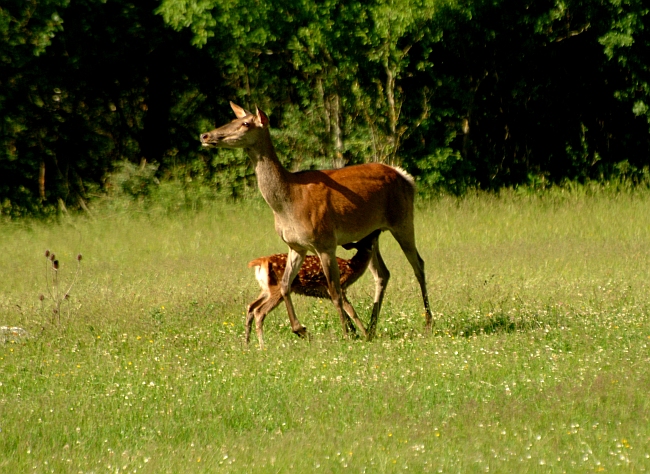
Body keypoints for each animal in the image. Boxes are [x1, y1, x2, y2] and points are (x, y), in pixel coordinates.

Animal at [247, 230, 380, 348]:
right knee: (259, 311)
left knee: (251, 306)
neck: (351, 268)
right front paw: (366, 335)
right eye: (369, 238)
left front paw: (355, 334)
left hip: (266, 290)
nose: (377, 231)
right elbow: (352, 311)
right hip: (277, 289)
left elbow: (346, 312)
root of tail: (262, 261)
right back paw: (262, 346)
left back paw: (247, 344)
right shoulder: (339, 287)